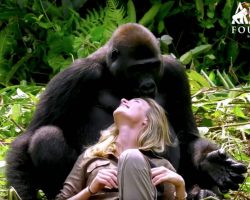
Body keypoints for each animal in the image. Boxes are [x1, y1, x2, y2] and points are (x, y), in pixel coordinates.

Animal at [5, 23, 246, 198]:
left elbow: (188, 136)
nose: (148, 86)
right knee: (45, 137)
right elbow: (27, 138)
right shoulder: (77, 74)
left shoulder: (174, 71)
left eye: (152, 66)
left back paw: (201, 192)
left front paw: (212, 163)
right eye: (137, 69)